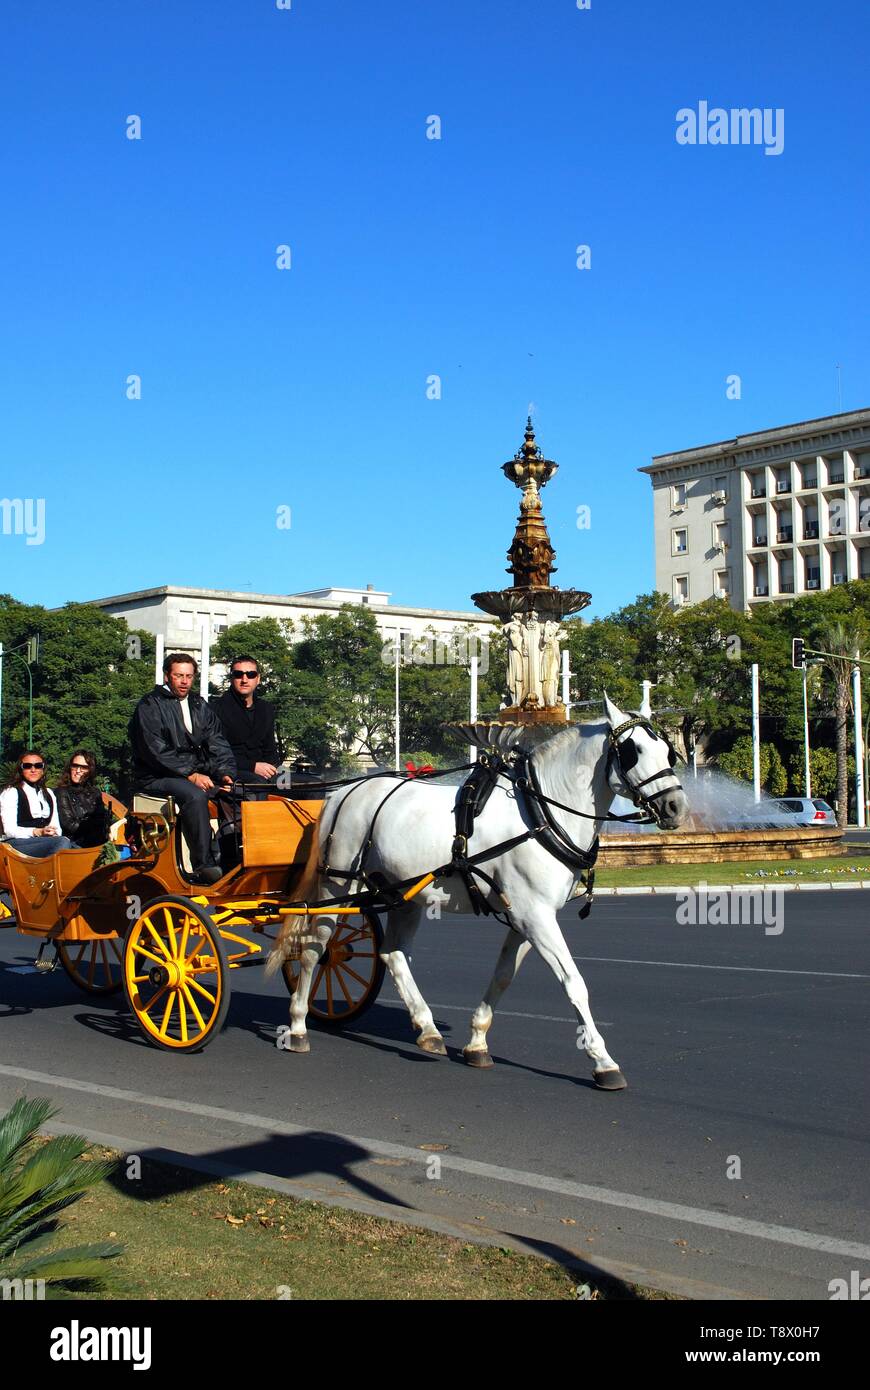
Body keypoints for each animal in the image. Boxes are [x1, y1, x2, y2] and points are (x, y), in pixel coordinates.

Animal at [268, 695, 686, 1084]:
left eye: (668, 751)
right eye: (633, 751)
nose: (676, 806)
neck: (541, 811)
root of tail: (344, 792)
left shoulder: (525, 916)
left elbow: (502, 977)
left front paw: (476, 1042)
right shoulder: (535, 916)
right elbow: (574, 983)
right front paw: (603, 1061)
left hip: (404, 896)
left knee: (391, 953)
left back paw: (428, 1029)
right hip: (337, 885)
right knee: (315, 947)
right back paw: (299, 1025)